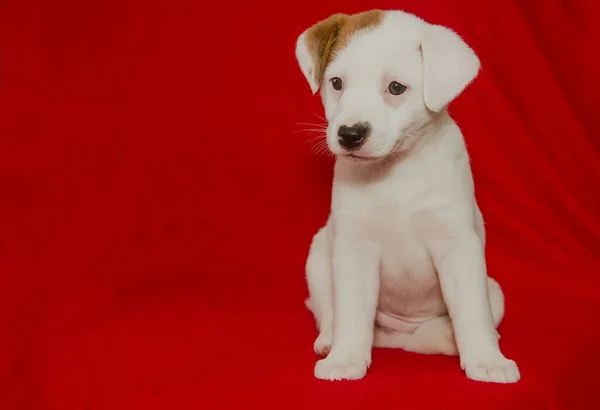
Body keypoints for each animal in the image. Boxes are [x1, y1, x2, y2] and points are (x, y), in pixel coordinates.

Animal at [296, 9, 520, 382]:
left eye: (396, 88)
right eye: (337, 83)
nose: (349, 134)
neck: (394, 171)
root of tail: (399, 335)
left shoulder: (458, 247)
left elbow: (472, 312)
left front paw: (488, 360)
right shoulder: (354, 248)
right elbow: (351, 312)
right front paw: (346, 357)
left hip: (496, 292)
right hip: (318, 255)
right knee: (328, 310)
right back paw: (329, 340)